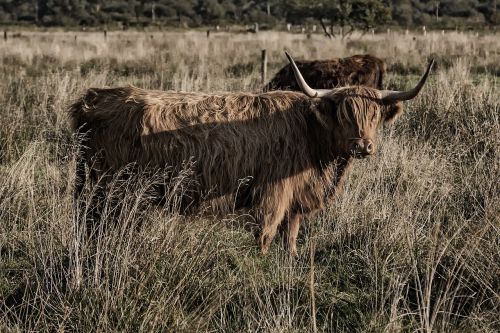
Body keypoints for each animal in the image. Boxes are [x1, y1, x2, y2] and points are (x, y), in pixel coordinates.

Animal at [71, 52, 434, 254]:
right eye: (345, 114)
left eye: (374, 116)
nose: (363, 146)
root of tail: (92, 98)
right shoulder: (271, 196)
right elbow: (265, 237)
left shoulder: (295, 198)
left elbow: (291, 239)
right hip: (111, 189)